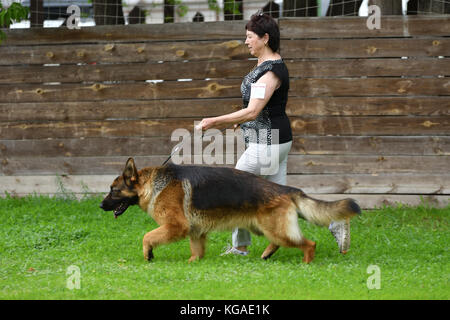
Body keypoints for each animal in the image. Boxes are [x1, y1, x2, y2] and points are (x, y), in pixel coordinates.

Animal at [100, 159, 360, 264]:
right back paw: (267, 255)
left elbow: (147, 237)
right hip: (262, 227)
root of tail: (286, 189)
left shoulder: (176, 226)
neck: (152, 184)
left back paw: (306, 262)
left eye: (113, 190)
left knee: (308, 244)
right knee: (279, 242)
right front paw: (193, 263)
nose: (101, 206)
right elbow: (196, 251)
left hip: (274, 228)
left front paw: (148, 254)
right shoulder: (195, 232)